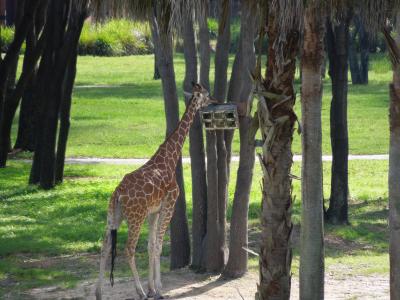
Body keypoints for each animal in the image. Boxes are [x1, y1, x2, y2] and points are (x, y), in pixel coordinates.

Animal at [95, 83, 214, 300]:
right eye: (207, 95)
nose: (215, 100)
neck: (169, 159)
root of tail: (118, 194)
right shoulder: (169, 205)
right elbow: (158, 245)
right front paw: (157, 289)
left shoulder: (154, 211)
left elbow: (151, 246)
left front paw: (152, 288)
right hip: (135, 217)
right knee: (129, 249)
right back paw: (139, 291)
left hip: (113, 215)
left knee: (105, 246)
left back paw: (99, 292)